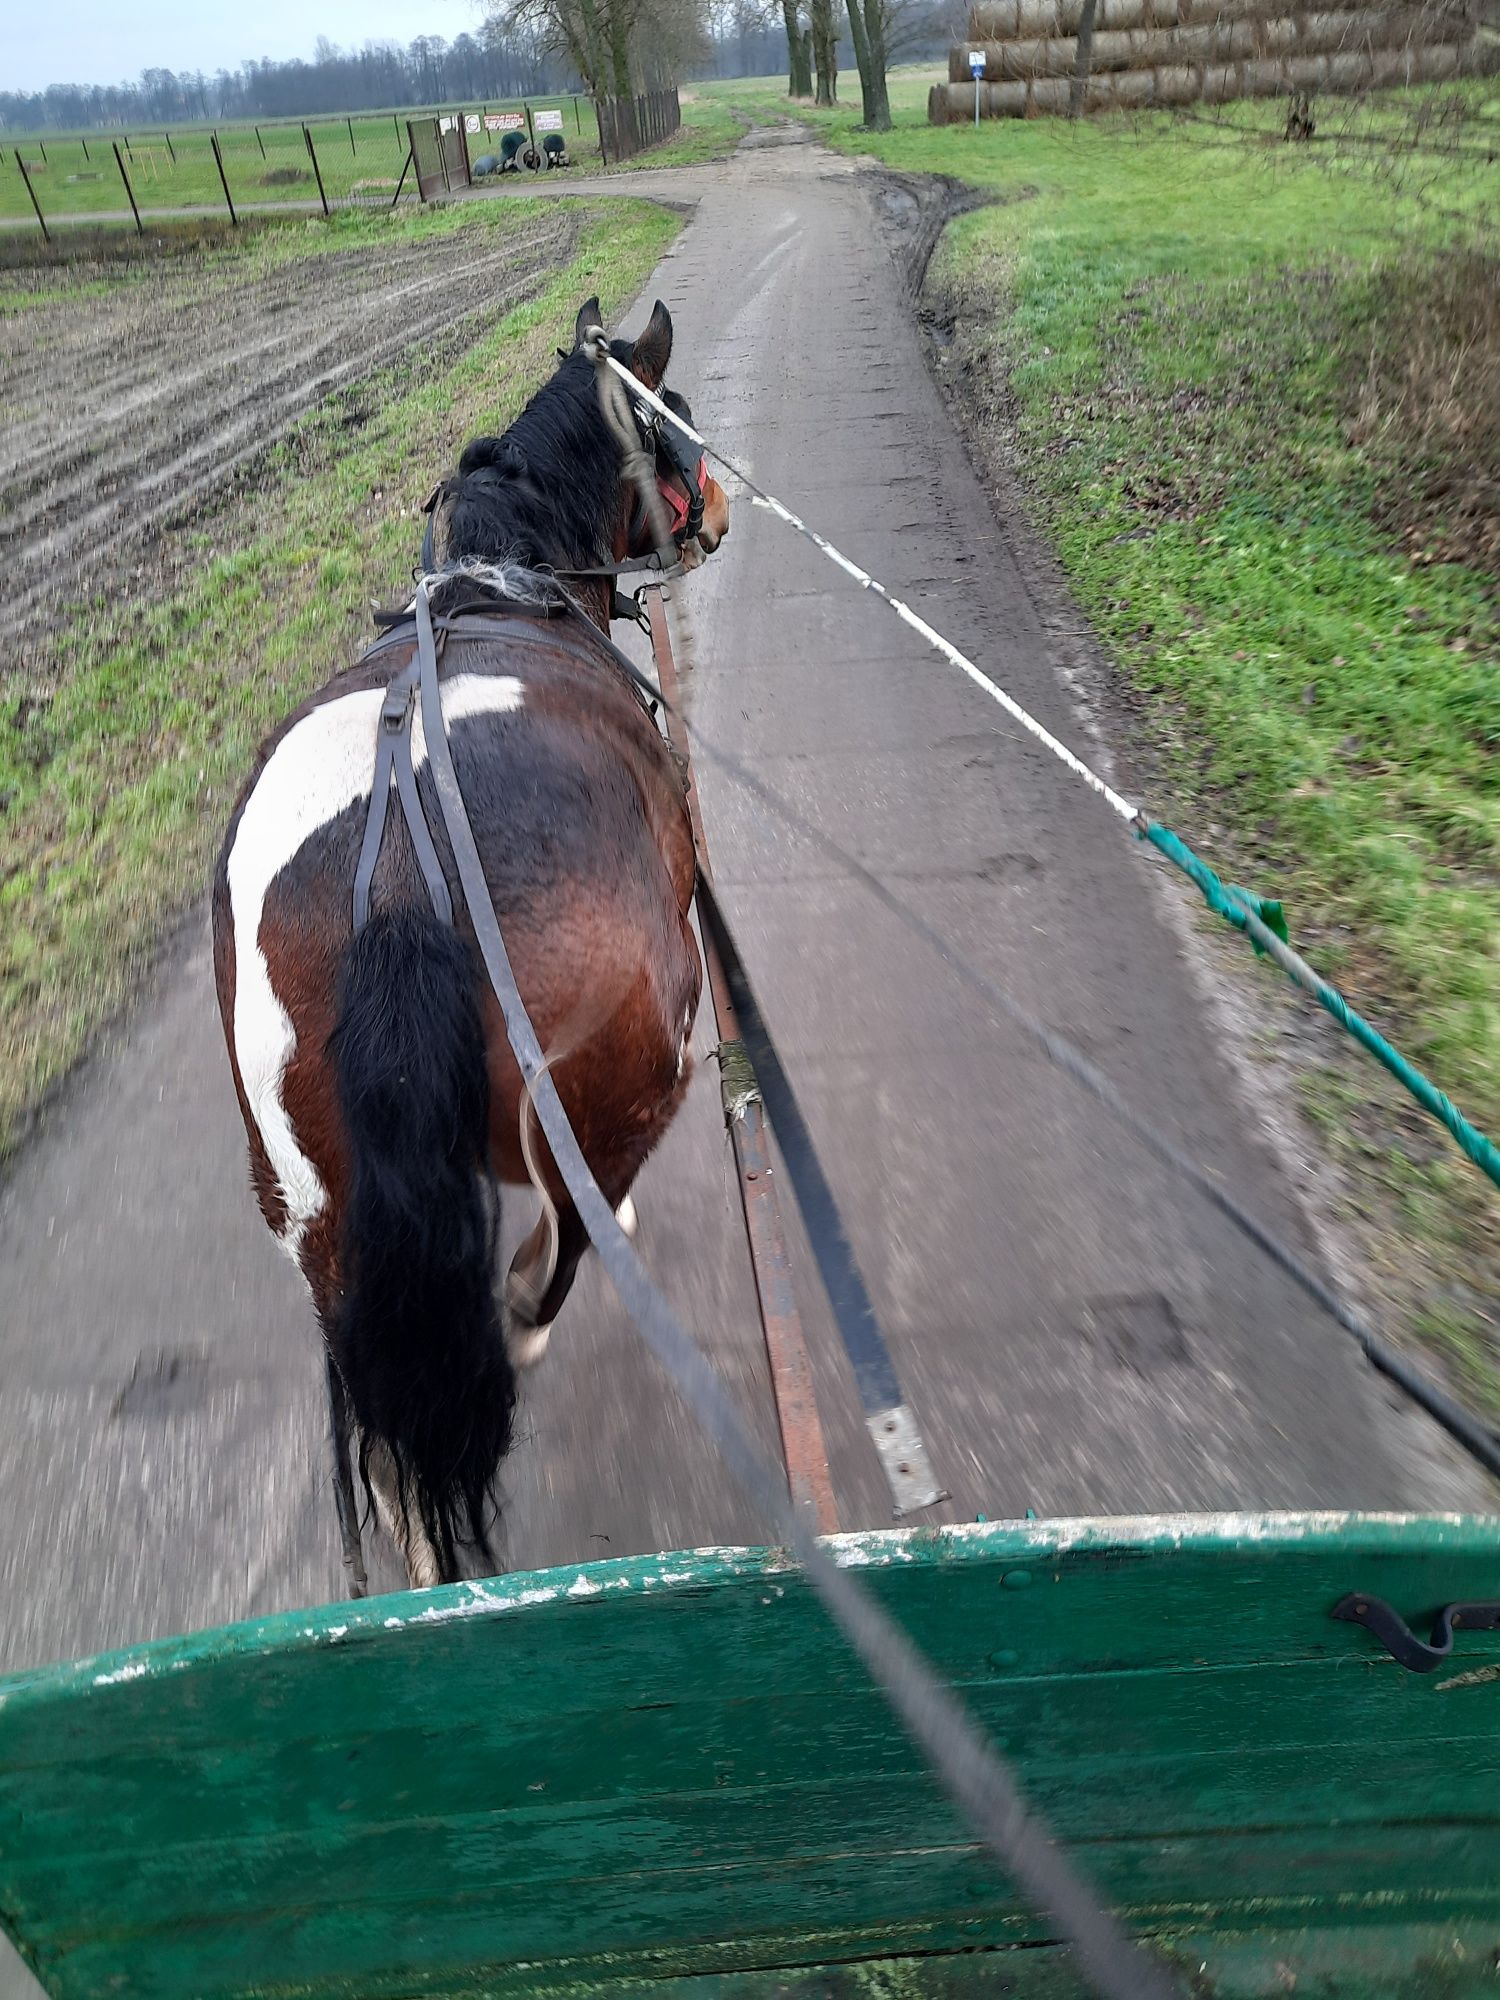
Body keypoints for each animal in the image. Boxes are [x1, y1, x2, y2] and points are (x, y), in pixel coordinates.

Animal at [212, 300, 728, 1592]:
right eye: (675, 417)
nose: (718, 512)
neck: (506, 574)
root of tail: (401, 871)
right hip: (632, 1075)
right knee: (553, 1263)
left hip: (313, 1211)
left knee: (390, 1430)